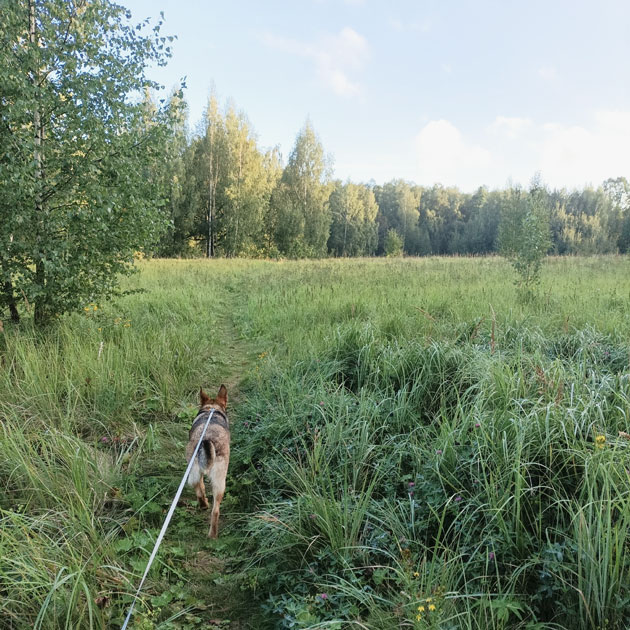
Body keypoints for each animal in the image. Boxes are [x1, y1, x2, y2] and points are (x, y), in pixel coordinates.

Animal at [186, 386, 231, 540]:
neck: (211, 409)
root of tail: (206, 439)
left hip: (193, 468)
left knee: (198, 487)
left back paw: (204, 504)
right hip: (220, 480)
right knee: (216, 510)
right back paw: (213, 535)